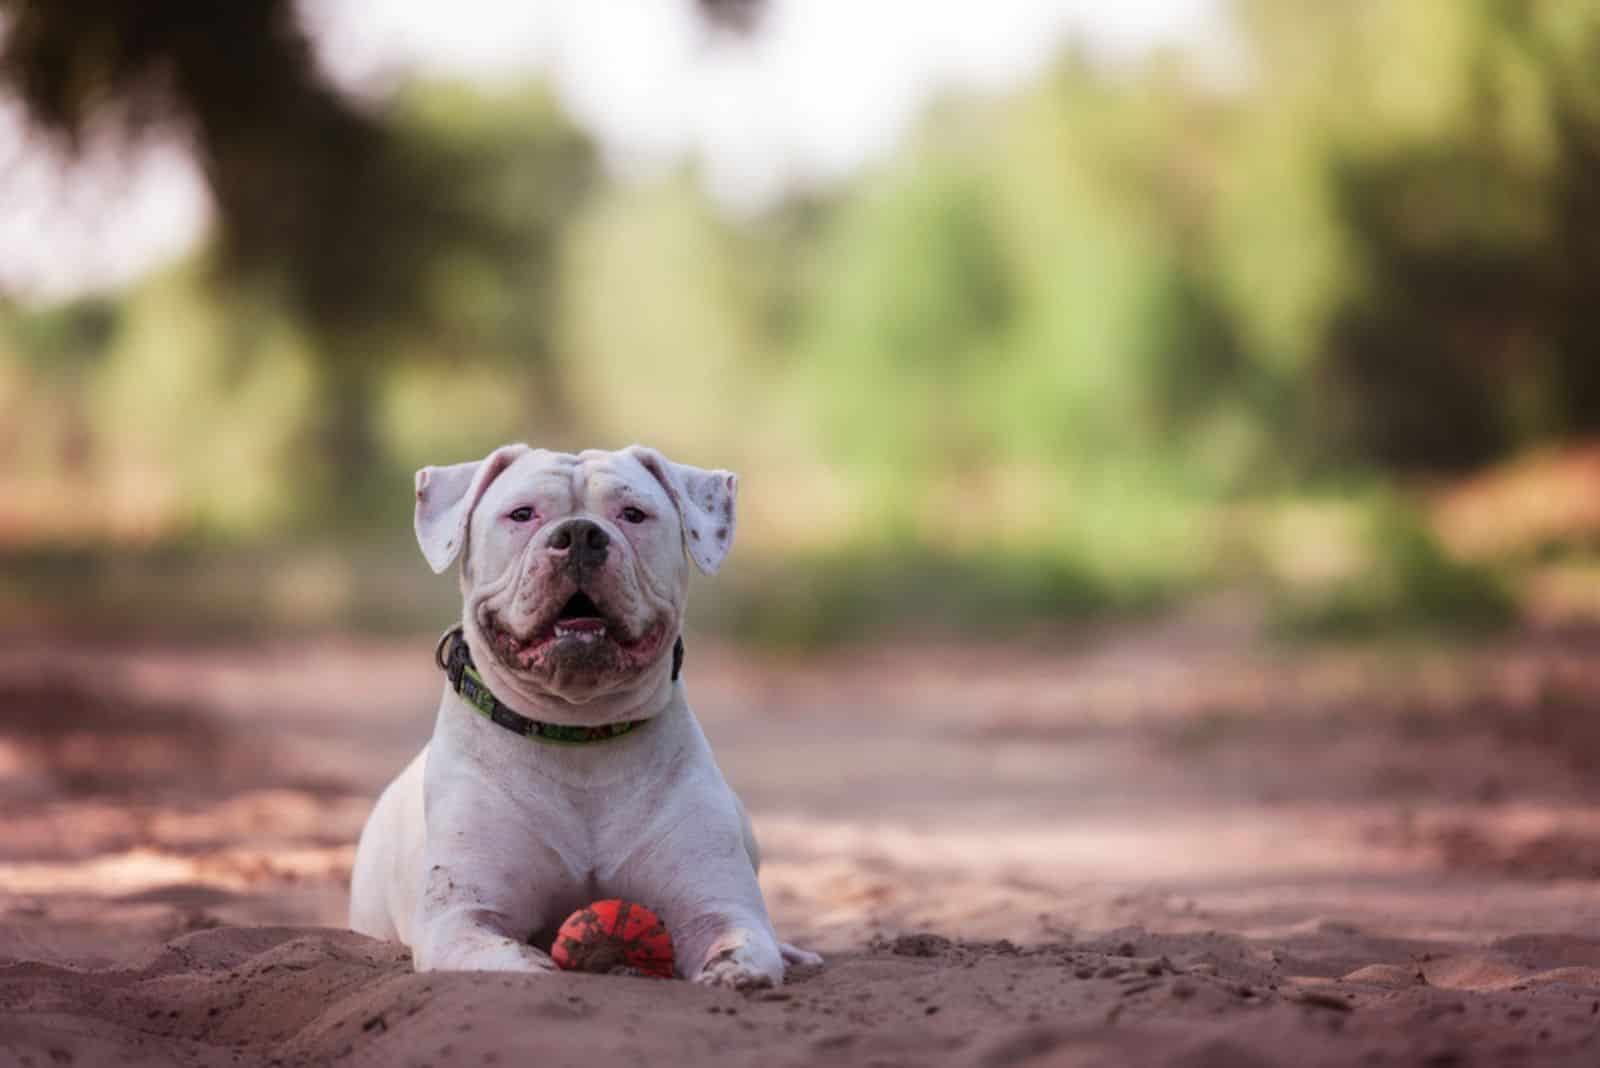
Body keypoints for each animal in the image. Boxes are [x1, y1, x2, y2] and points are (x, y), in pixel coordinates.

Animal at [352, 441, 825, 984]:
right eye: (522, 514)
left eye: (634, 514)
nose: (579, 534)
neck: (577, 732)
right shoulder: (462, 918)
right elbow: (518, 963)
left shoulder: (718, 907)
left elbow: (738, 944)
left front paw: (734, 973)